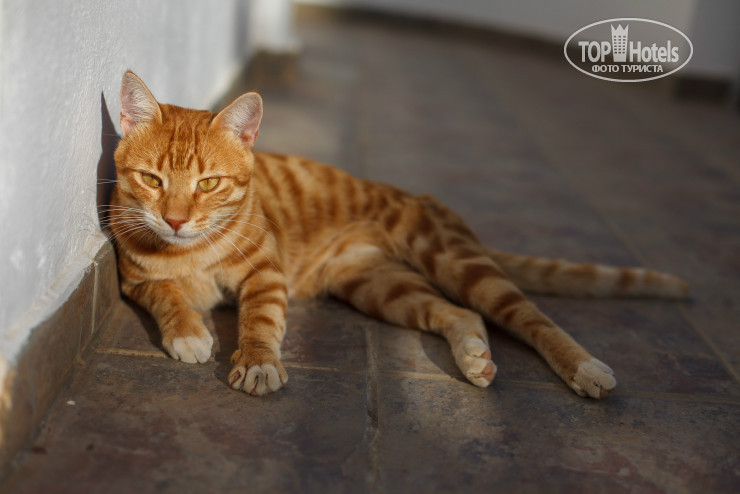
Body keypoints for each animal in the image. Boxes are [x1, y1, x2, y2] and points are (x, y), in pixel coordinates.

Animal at [109, 71, 689, 399]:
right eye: (152, 180)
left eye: (208, 183)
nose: (176, 220)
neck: (189, 250)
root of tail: (424, 197)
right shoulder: (133, 281)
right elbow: (166, 295)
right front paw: (188, 330)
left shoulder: (267, 274)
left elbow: (260, 321)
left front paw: (257, 362)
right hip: (380, 288)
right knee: (461, 314)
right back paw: (473, 356)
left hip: (454, 261)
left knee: (530, 318)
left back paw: (585, 366)